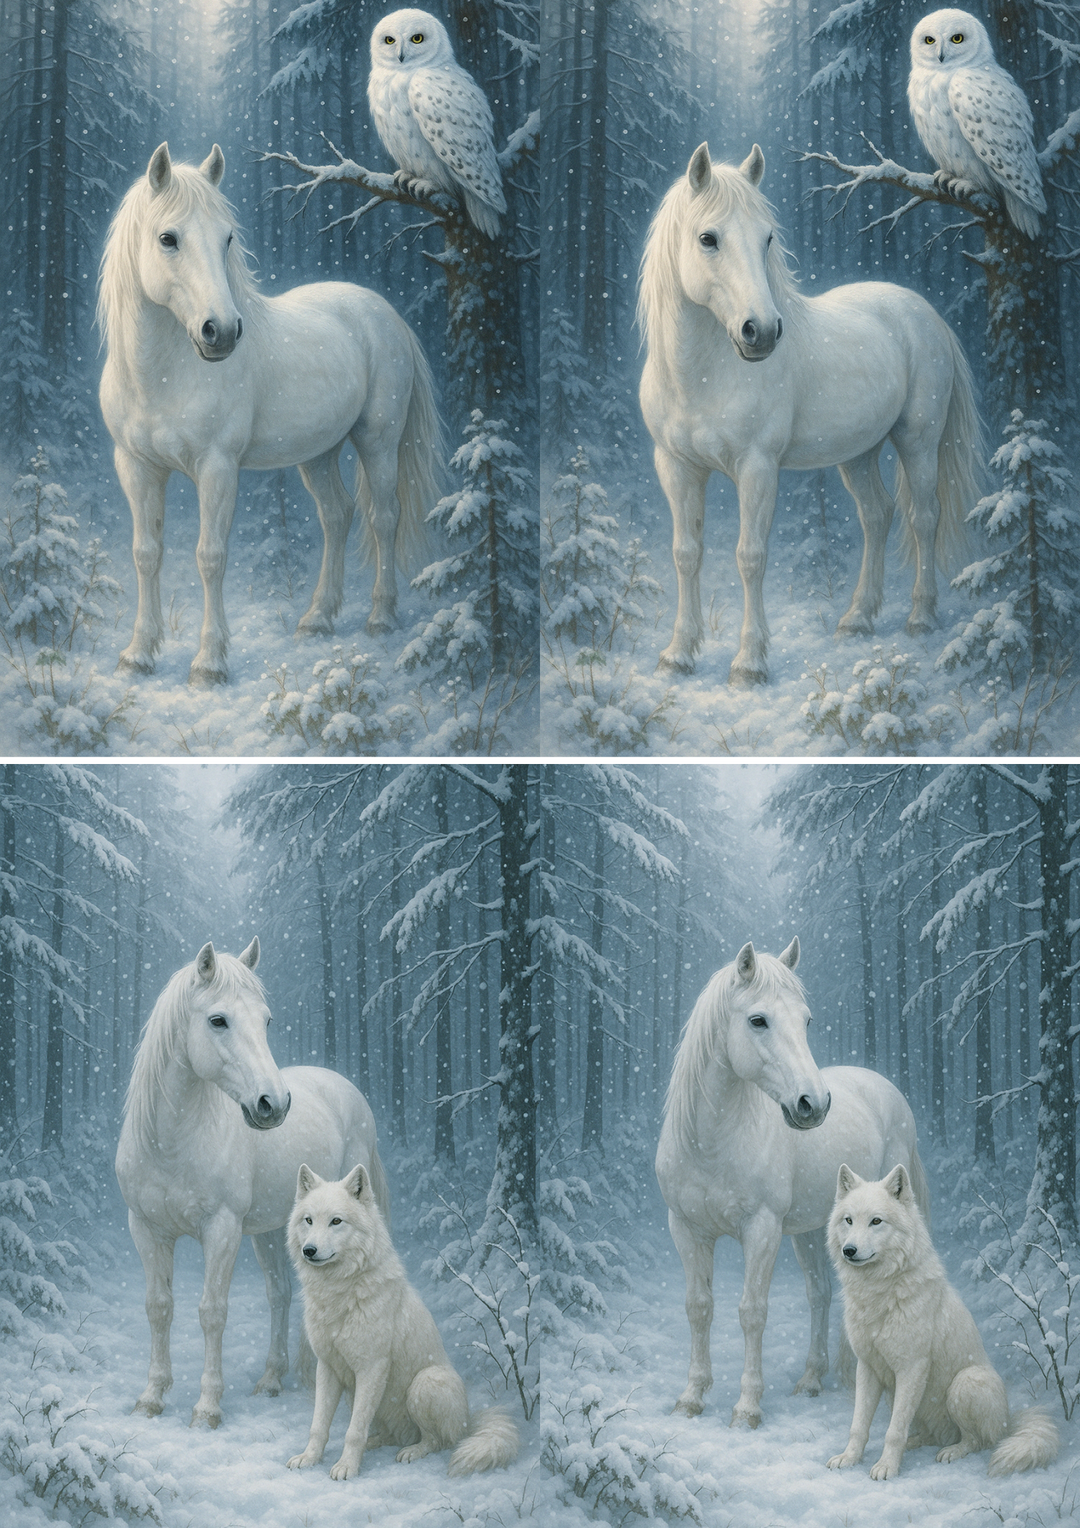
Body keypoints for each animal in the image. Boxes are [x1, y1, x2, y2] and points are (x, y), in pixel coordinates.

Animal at [98, 143, 443, 687]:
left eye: (227, 238)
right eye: (167, 239)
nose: (221, 331)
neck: (163, 377)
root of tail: (386, 313)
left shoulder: (217, 468)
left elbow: (210, 556)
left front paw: (209, 664)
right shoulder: (136, 467)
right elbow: (145, 553)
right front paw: (137, 655)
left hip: (378, 441)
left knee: (383, 517)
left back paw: (381, 617)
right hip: (318, 452)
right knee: (336, 515)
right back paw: (317, 619)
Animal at [114, 937, 390, 1429]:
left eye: (266, 1020)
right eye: (218, 1020)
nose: (273, 1104)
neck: (171, 1145)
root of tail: (344, 1086)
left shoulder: (221, 1230)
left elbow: (212, 1311)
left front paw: (207, 1407)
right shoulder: (146, 1229)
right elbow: (158, 1307)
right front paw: (151, 1397)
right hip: (271, 1230)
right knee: (280, 1294)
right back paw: (272, 1379)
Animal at [637, 143, 983, 686]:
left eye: (767, 238)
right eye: (707, 239)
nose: (761, 331)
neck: (702, 378)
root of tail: (926, 314)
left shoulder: (757, 468)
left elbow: (750, 556)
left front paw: (749, 663)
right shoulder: (676, 467)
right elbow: (685, 553)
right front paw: (678, 654)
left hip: (918, 441)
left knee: (923, 517)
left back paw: (921, 617)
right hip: (858, 452)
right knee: (876, 515)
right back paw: (857, 619)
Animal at [655, 938, 929, 1428]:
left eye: (807, 1021)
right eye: (757, 1020)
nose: (813, 1104)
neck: (711, 1145)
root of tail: (883, 1086)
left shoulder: (761, 1230)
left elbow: (752, 1311)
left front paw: (747, 1407)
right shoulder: (686, 1229)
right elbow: (698, 1307)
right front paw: (691, 1397)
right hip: (811, 1231)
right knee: (820, 1294)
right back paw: (812, 1379)